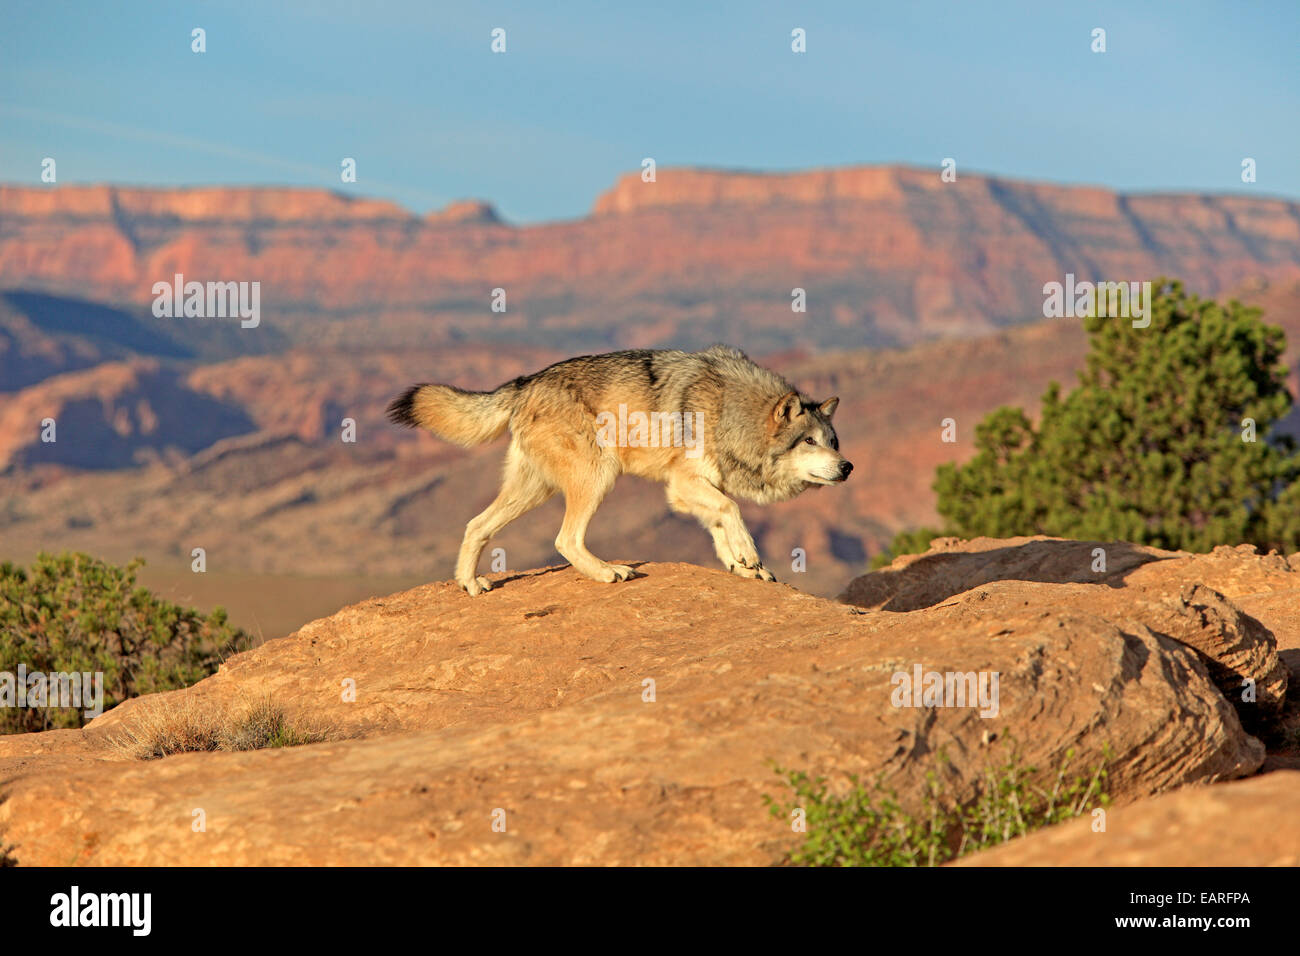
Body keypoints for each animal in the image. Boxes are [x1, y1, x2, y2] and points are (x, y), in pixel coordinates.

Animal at [386, 345, 852, 595]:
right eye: (809, 441)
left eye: (833, 441)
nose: (847, 467)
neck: (732, 410)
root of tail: (525, 382)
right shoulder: (684, 482)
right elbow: (732, 511)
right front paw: (749, 555)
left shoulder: (691, 489)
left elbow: (720, 523)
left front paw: (743, 566)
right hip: (598, 477)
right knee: (565, 539)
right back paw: (610, 571)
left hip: (536, 490)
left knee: (476, 525)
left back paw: (470, 585)